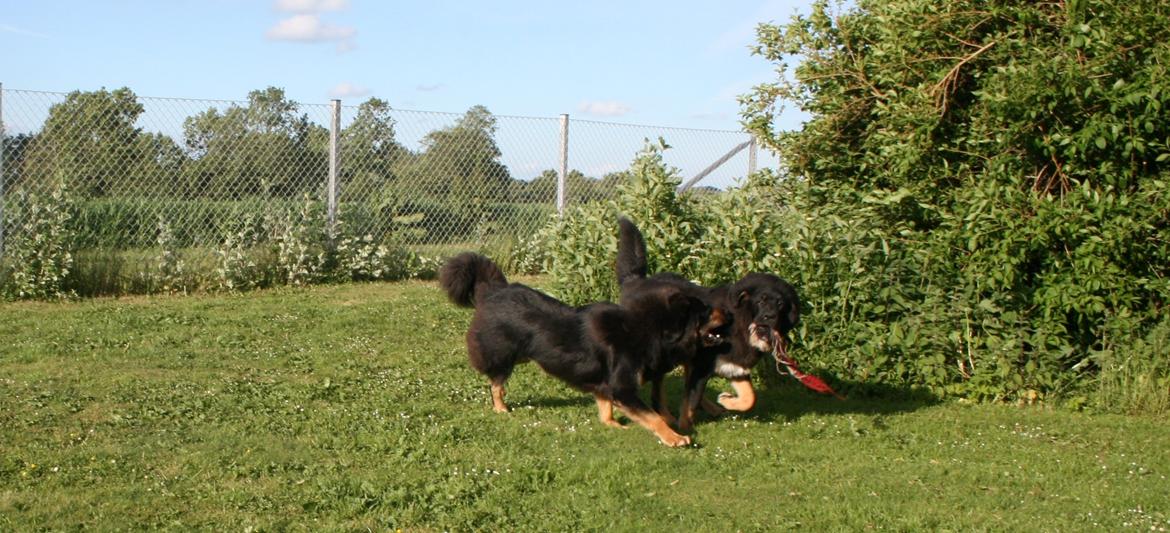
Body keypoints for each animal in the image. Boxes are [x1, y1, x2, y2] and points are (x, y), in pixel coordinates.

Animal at [439, 252, 720, 446]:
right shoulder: (624, 387)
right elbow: (654, 417)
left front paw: (611, 425)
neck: (646, 329)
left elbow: (605, 407)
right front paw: (674, 437)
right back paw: (500, 408)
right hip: (504, 355)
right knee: (495, 384)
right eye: (705, 311)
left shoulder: (606, 384)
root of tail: (494, 290)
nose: (726, 312)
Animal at [617, 218, 800, 430]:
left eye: (781, 304)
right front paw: (685, 428)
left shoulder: (734, 367)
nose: (769, 317)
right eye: (761, 301)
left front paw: (726, 400)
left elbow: (749, 398)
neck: (739, 324)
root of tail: (634, 281)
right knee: (658, 392)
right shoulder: (702, 366)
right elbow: (691, 402)